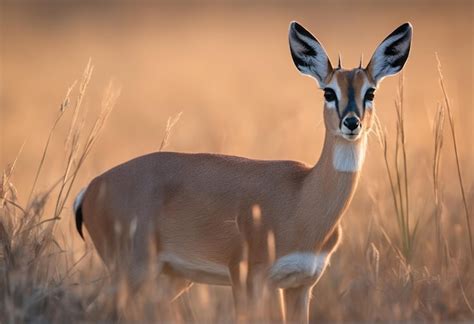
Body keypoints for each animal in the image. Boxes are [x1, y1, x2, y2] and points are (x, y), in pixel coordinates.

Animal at [73, 22, 412, 322]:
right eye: (328, 92)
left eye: (371, 92)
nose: (351, 122)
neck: (302, 199)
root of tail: (91, 188)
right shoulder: (246, 278)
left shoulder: (299, 286)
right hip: (132, 271)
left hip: (170, 279)